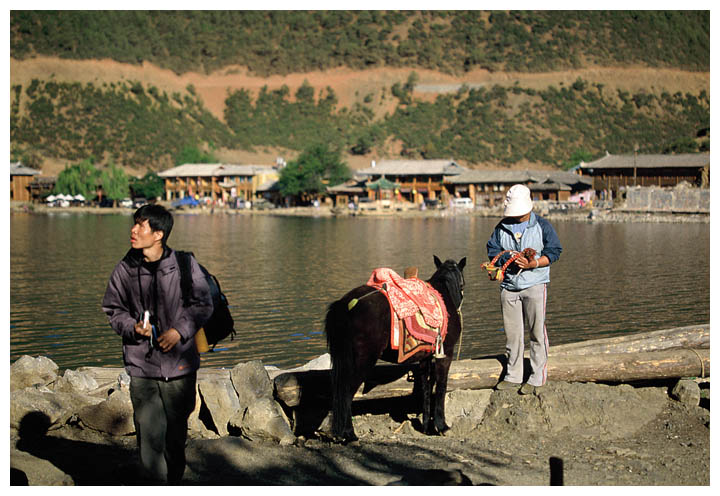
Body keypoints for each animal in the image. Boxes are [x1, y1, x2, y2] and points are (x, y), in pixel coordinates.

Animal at [322, 256, 466, 442]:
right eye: (462, 285)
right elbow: (441, 387)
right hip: (362, 361)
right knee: (346, 393)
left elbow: (426, 388)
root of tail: (345, 304)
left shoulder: (425, 358)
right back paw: (350, 434)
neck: (444, 295)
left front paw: (427, 427)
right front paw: (442, 426)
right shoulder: (445, 354)